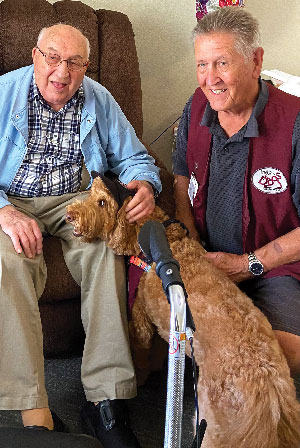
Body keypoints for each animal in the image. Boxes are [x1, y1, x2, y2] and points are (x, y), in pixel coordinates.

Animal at [65, 174, 300, 448]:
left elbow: (140, 353)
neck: (161, 237)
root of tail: (270, 394)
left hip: (211, 429)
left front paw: (139, 378)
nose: (70, 214)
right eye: (91, 193)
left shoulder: (140, 319)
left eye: (102, 202)